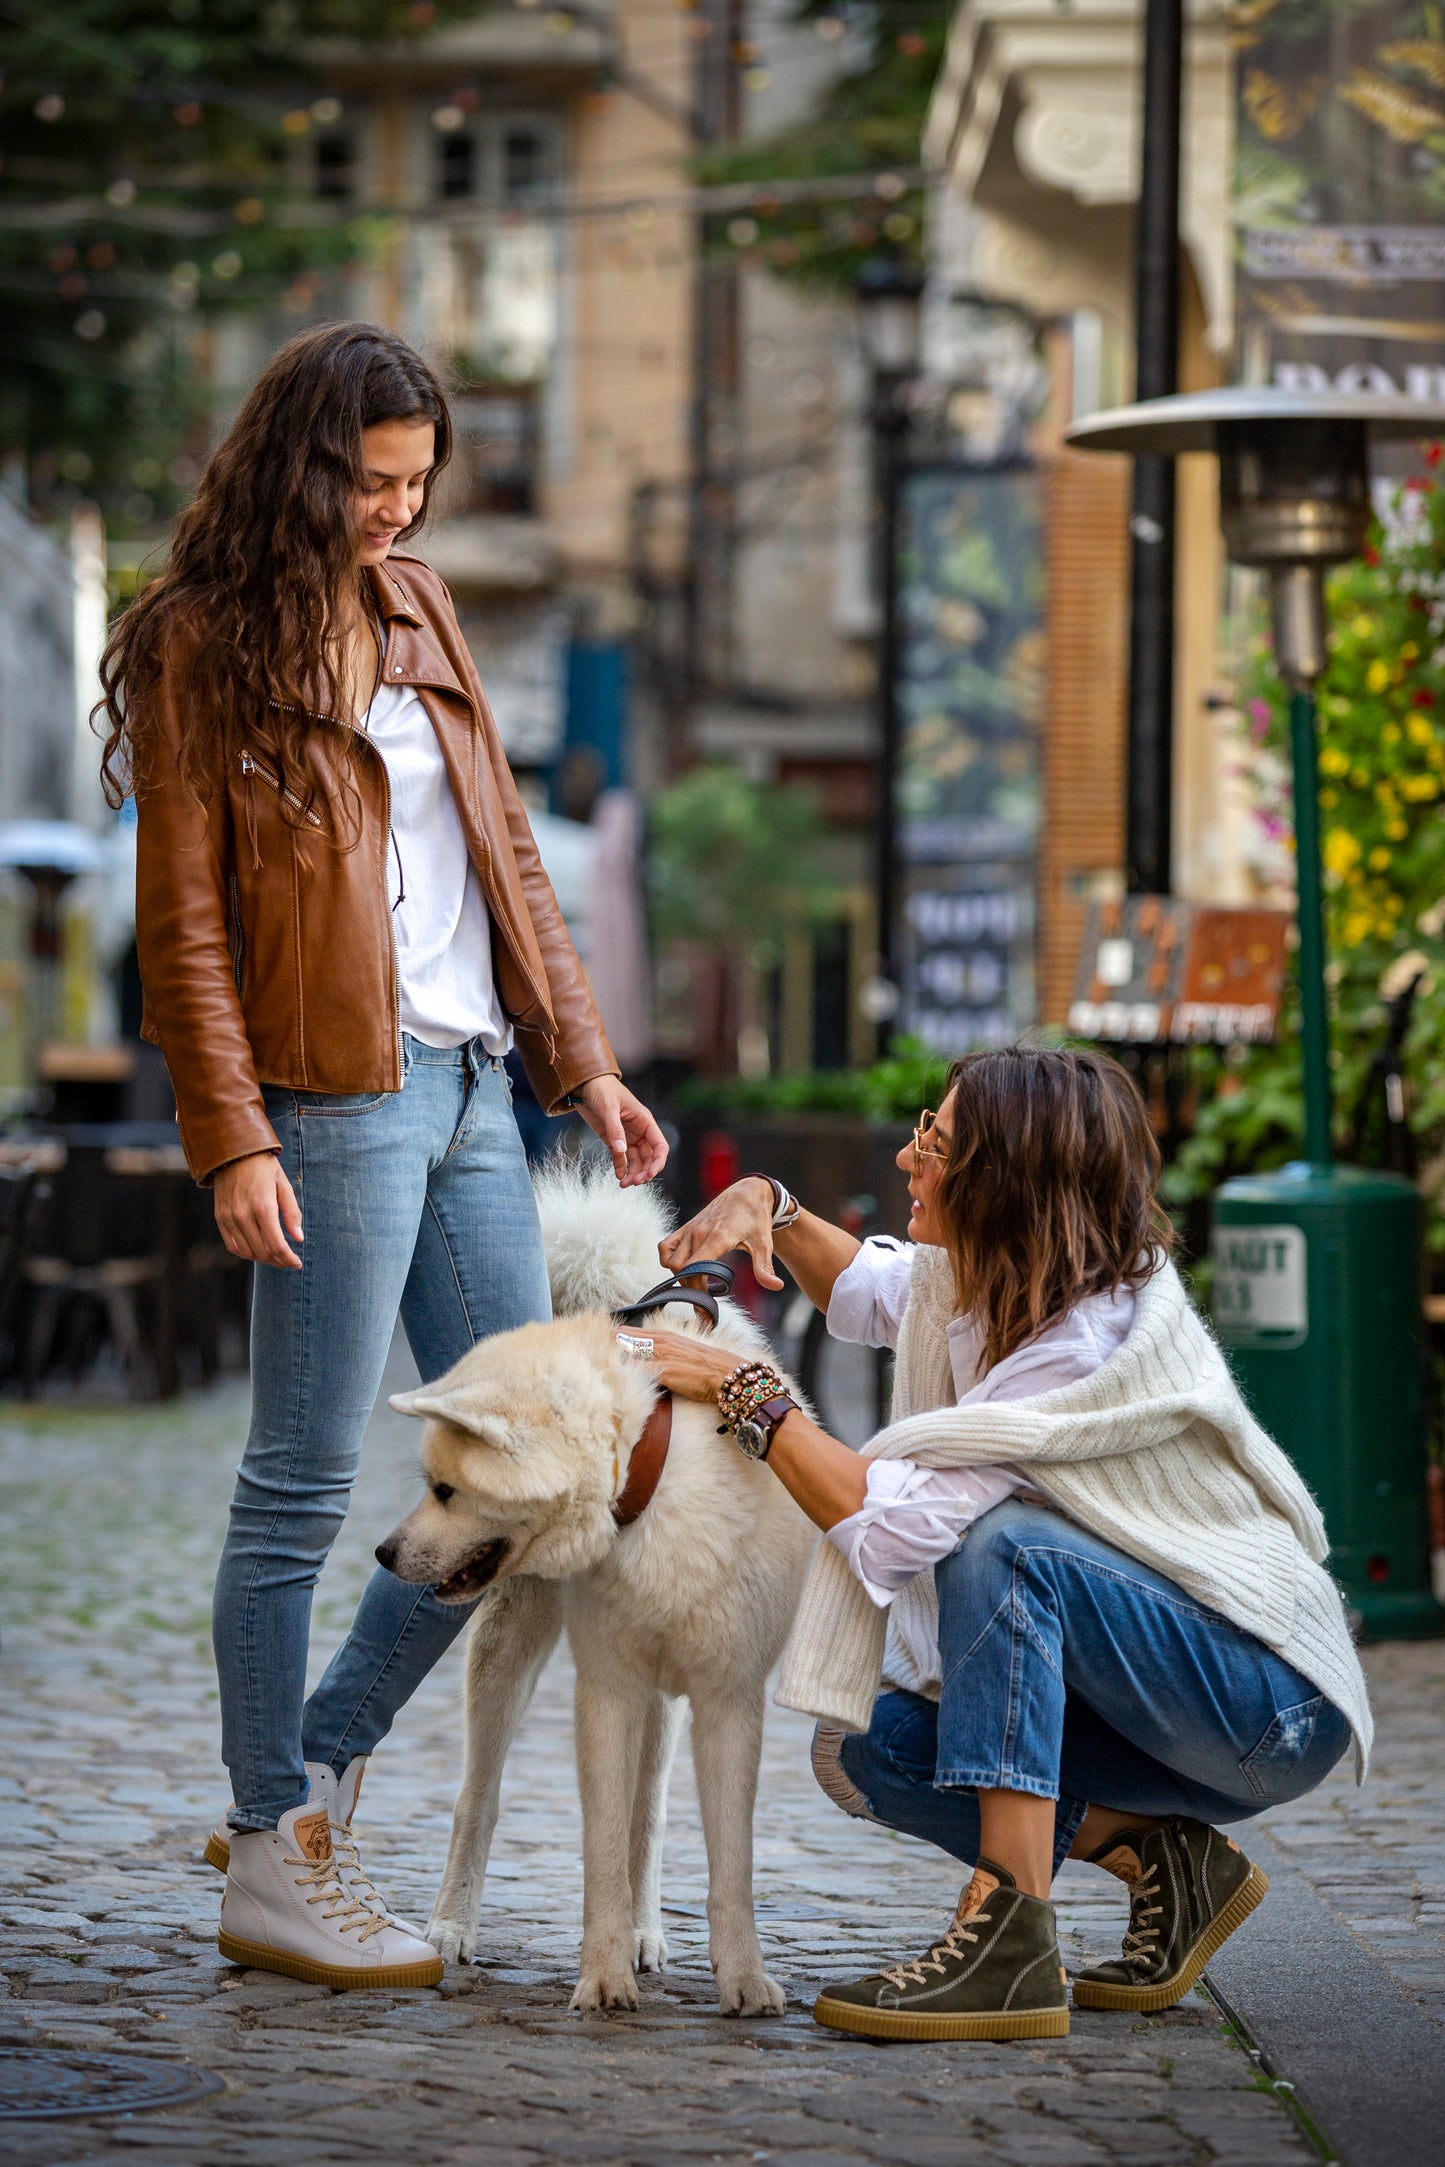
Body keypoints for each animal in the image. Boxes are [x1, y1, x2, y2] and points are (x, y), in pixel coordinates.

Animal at [379, 1161, 818, 2019]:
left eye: (444, 1490)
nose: (384, 1552)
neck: (653, 1471)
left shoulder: (728, 1697)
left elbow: (727, 1861)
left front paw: (743, 1980)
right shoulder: (606, 1688)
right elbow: (601, 1847)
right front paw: (603, 1979)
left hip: (664, 1701)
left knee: (649, 1815)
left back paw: (648, 1933)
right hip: (513, 1646)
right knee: (478, 1794)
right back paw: (452, 1924)